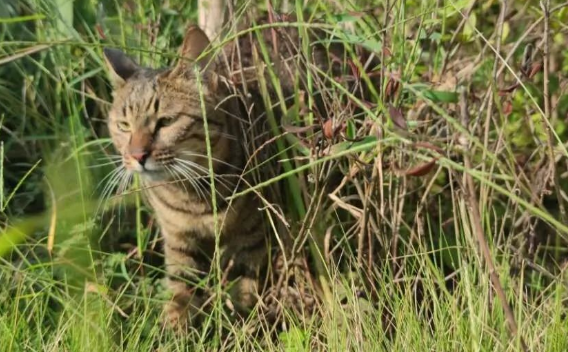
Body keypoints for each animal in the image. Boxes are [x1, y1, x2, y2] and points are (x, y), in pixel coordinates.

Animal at [103, 26, 268, 328]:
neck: (193, 193)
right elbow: (181, 290)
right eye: (124, 126)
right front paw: (174, 328)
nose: (137, 156)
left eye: (166, 122)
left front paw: (242, 323)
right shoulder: (178, 237)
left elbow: (244, 291)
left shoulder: (252, 234)